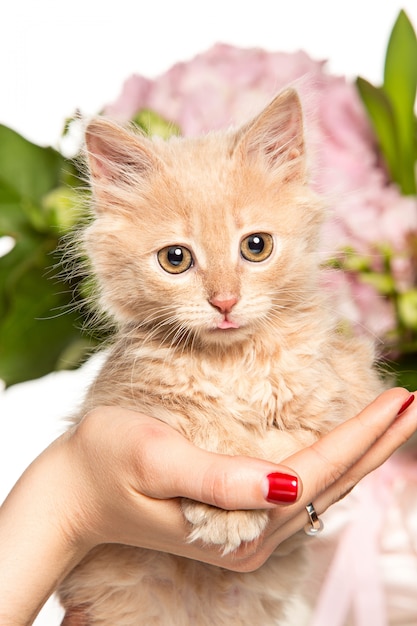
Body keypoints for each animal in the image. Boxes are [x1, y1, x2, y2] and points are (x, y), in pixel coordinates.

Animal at [58, 89, 384, 624]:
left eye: (256, 246)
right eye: (175, 259)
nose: (225, 302)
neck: (232, 363)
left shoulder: (346, 384)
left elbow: (290, 433)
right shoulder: (117, 399)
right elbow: (201, 418)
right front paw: (227, 507)